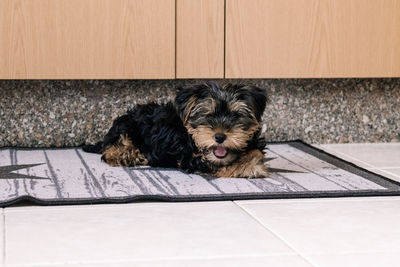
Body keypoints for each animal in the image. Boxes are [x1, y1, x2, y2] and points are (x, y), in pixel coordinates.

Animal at [82, 81, 268, 178]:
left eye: (235, 116)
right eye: (207, 115)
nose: (220, 136)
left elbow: (256, 151)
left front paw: (254, 158)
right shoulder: (192, 158)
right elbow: (223, 166)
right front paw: (252, 167)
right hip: (126, 127)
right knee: (111, 151)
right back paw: (129, 155)